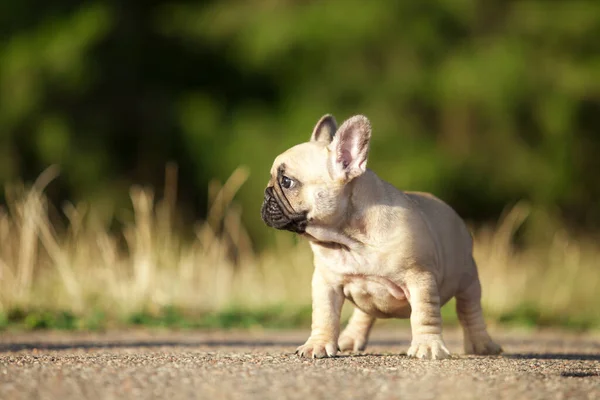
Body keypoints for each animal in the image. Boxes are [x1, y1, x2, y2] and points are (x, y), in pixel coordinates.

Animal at [262, 113, 502, 360]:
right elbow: (324, 316)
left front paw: (427, 346)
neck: (350, 241)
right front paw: (317, 344)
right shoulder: (326, 283)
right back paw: (350, 339)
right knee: (364, 314)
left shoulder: (421, 279)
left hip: (468, 279)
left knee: (469, 311)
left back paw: (483, 345)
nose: (266, 194)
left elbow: (425, 314)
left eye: (287, 181)